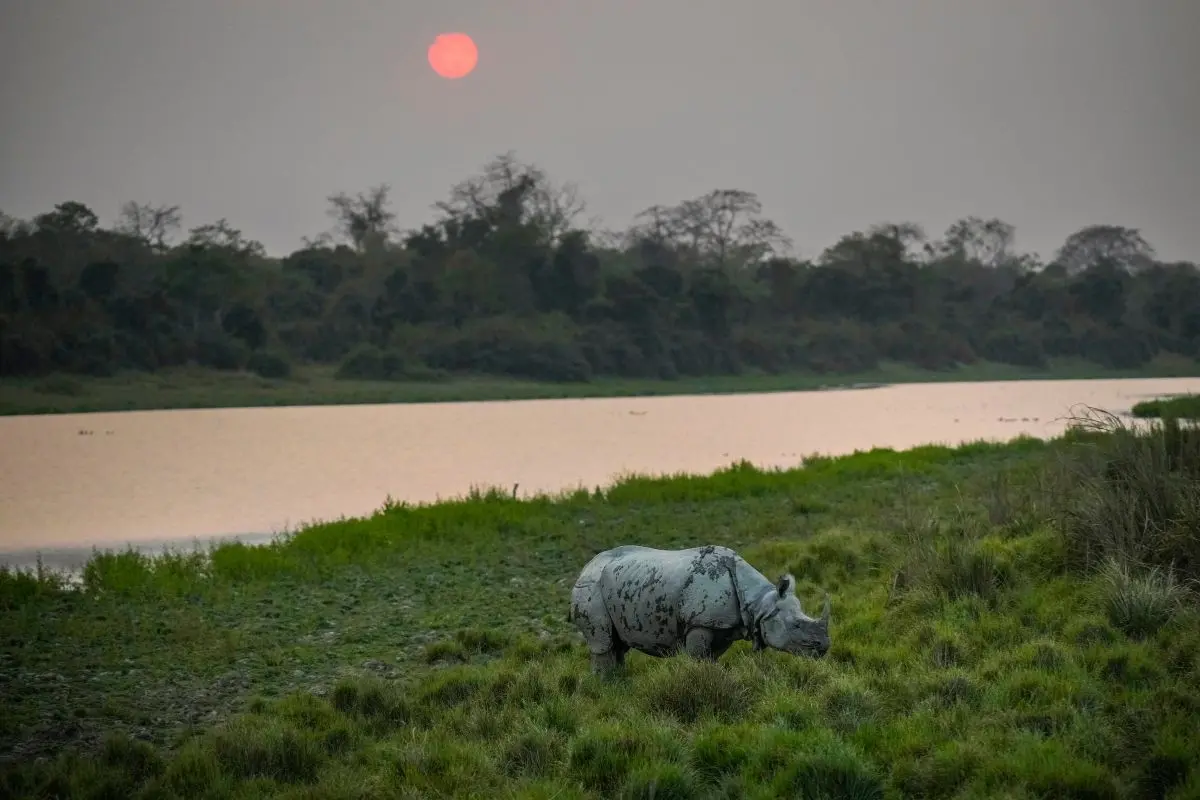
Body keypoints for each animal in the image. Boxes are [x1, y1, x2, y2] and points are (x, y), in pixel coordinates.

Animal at [567, 544, 831, 674]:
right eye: (795, 625)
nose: (824, 648)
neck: (759, 603)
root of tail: (586, 566)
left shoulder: (722, 626)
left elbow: (710, 659)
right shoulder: (699, 623)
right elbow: (697, 658)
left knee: (617, 645)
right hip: (590, 587)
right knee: (603, 643)